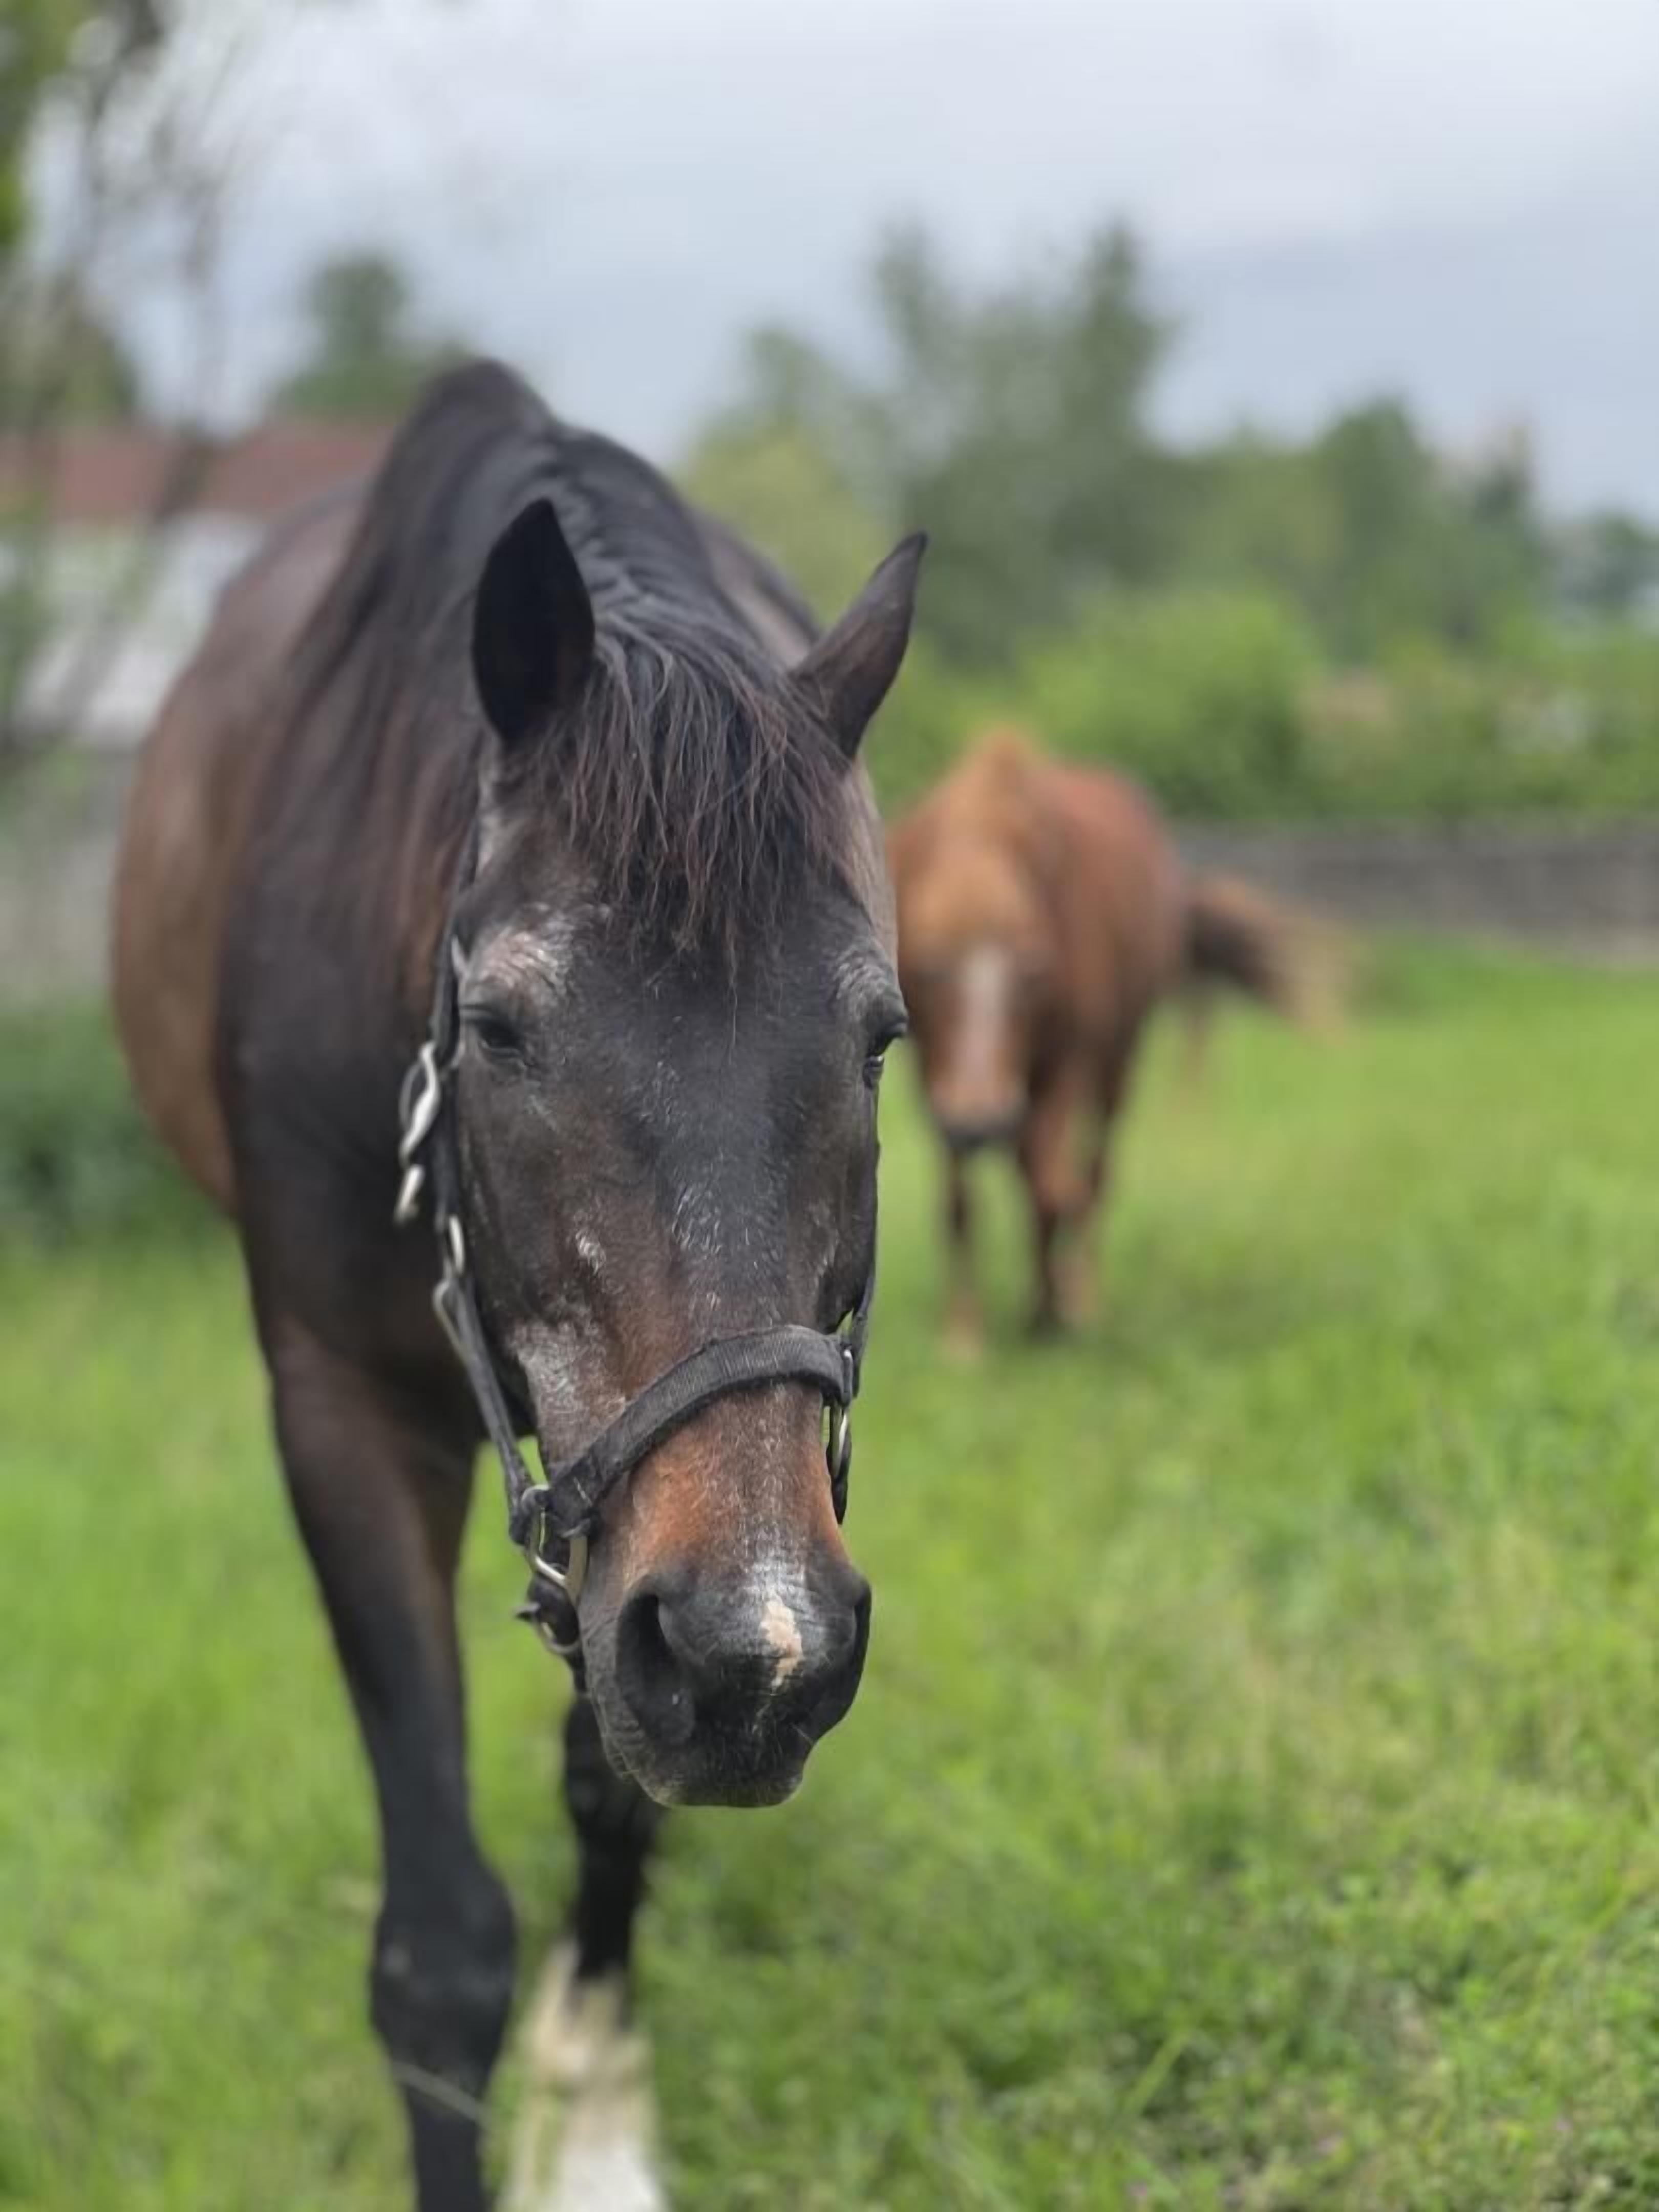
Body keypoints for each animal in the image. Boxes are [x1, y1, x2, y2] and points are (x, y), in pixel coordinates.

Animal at [112, 360, 923, 2210]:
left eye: (878, 1035)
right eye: (499, 1026)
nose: (756, 1651)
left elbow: (612, 1795)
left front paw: (601, 2125)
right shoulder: (339, 1410)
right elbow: (440, 1948)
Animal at [888, 729, 1328, 1345]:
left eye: (1033, 970)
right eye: (930, 968)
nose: (982, 1122)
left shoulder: (1068, 1065)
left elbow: (1052, 1191)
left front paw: (1052, 1307)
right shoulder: (934, 1077)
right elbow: (962, 1202)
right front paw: (965, 1330)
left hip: (1119, 1064)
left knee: (1093, 1174)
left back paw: (1082, 1292)